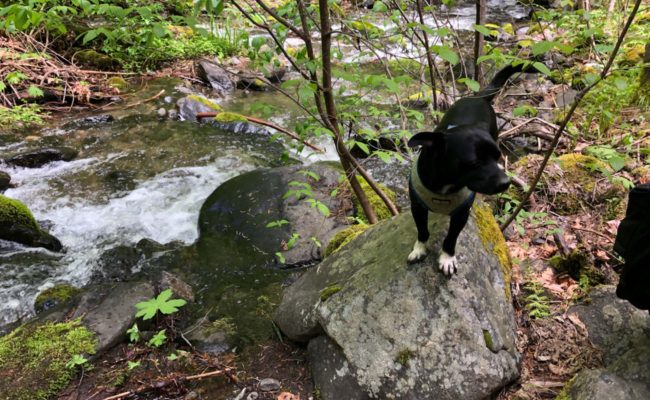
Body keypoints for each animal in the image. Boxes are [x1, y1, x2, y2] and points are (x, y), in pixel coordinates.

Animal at [408, 64, 528, 276]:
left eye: (497, 157)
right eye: (474, 163)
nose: (506, 183)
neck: (445, 185)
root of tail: (478, 97)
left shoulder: (460, 215)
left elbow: (451, 238)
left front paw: (447, 258)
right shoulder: (417, 207)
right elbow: (422, 230)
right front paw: (419, 248)